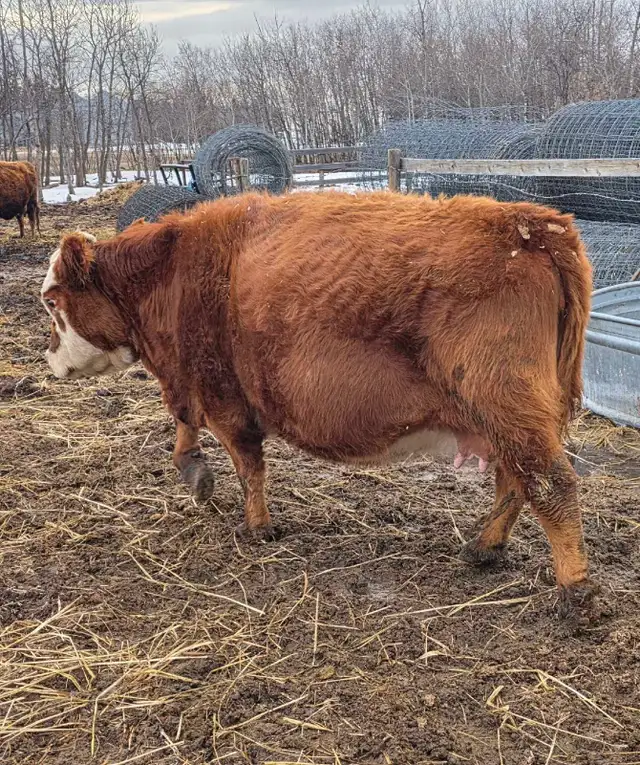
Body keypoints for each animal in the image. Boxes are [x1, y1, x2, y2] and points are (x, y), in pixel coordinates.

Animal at [40, 190, 594, 620]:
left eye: (50, 300)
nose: (49, 357)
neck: (174, 268)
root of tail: (533, 224)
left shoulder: (221, 392)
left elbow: (248, 465)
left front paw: (257, 527)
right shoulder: (192, 384)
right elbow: (185, 428)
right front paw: (194, 470)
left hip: (507, 402)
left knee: (550, 484)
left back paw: (575, 591)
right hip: (506, 416)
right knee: (514, 481)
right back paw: (484, 548)